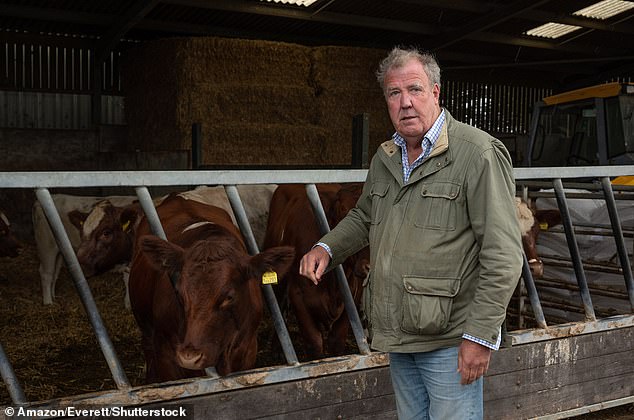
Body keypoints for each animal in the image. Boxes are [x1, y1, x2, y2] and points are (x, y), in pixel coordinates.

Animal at [262, 182, 370, 360]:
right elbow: (314, 343)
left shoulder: (353, 296)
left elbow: (336, 342)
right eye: (343, 211)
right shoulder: (298, 295)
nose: (368, 266)